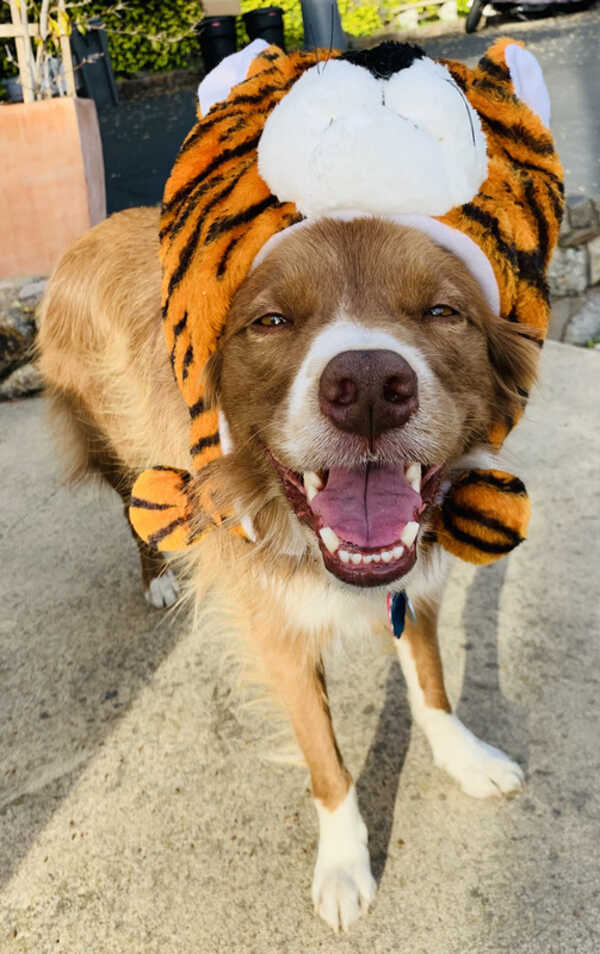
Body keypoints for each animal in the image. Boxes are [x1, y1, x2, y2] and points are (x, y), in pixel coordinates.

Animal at [36, 205, 540, 924]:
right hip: (111, 438)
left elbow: (431, 685)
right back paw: (157, 578)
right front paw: (344, 864)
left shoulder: (412, 585)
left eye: (443, 311)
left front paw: (464, 757)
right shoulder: (275, 630)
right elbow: (325, 757)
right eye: (271, 321)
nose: (367, 388)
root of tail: (88, 233)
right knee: (134, 509)